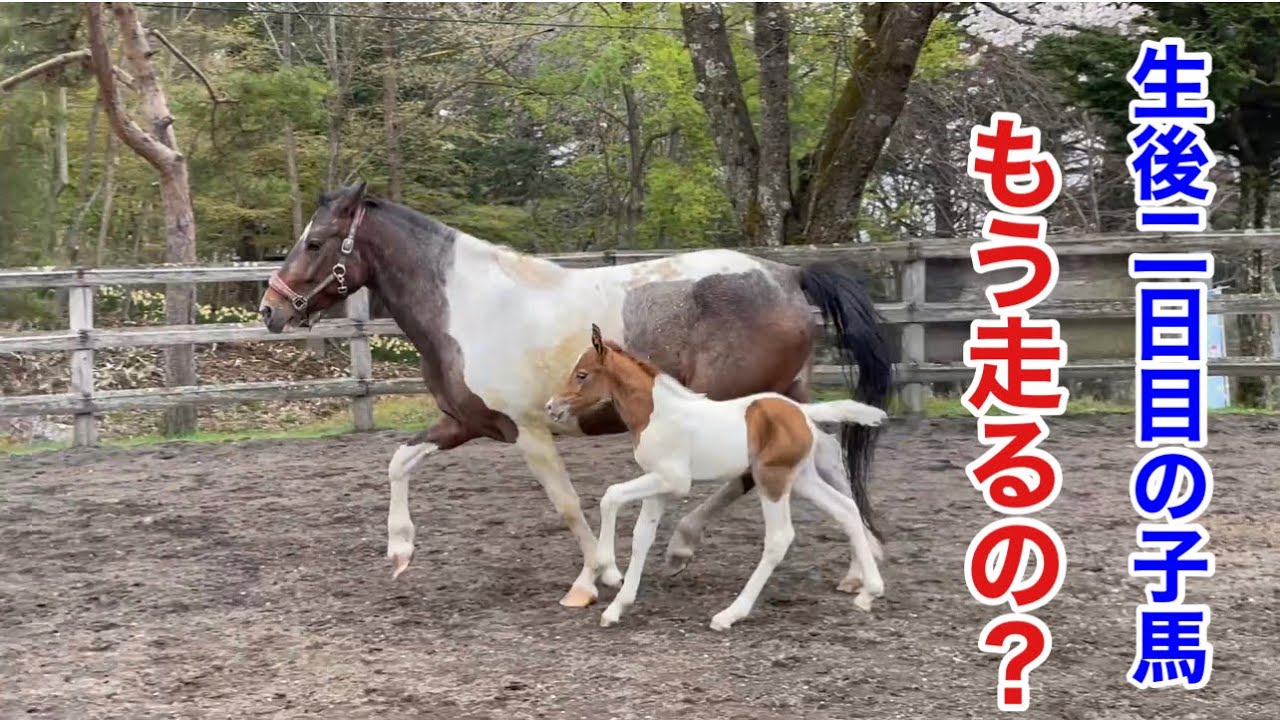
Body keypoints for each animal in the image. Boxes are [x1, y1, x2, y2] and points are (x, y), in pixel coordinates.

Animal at [547, 325, 888, 630]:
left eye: (581, 375)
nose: (551, 406)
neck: (657, 414)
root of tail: (804, 412)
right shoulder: (660, 485)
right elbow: (642, 537)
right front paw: (617, 607)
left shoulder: (674, 481)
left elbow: (611, 496)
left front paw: (607, 569)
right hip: (803, 479)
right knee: (846, 509)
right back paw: (869, 591)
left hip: (772, 479)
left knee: (779, 538)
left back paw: (729, 615)